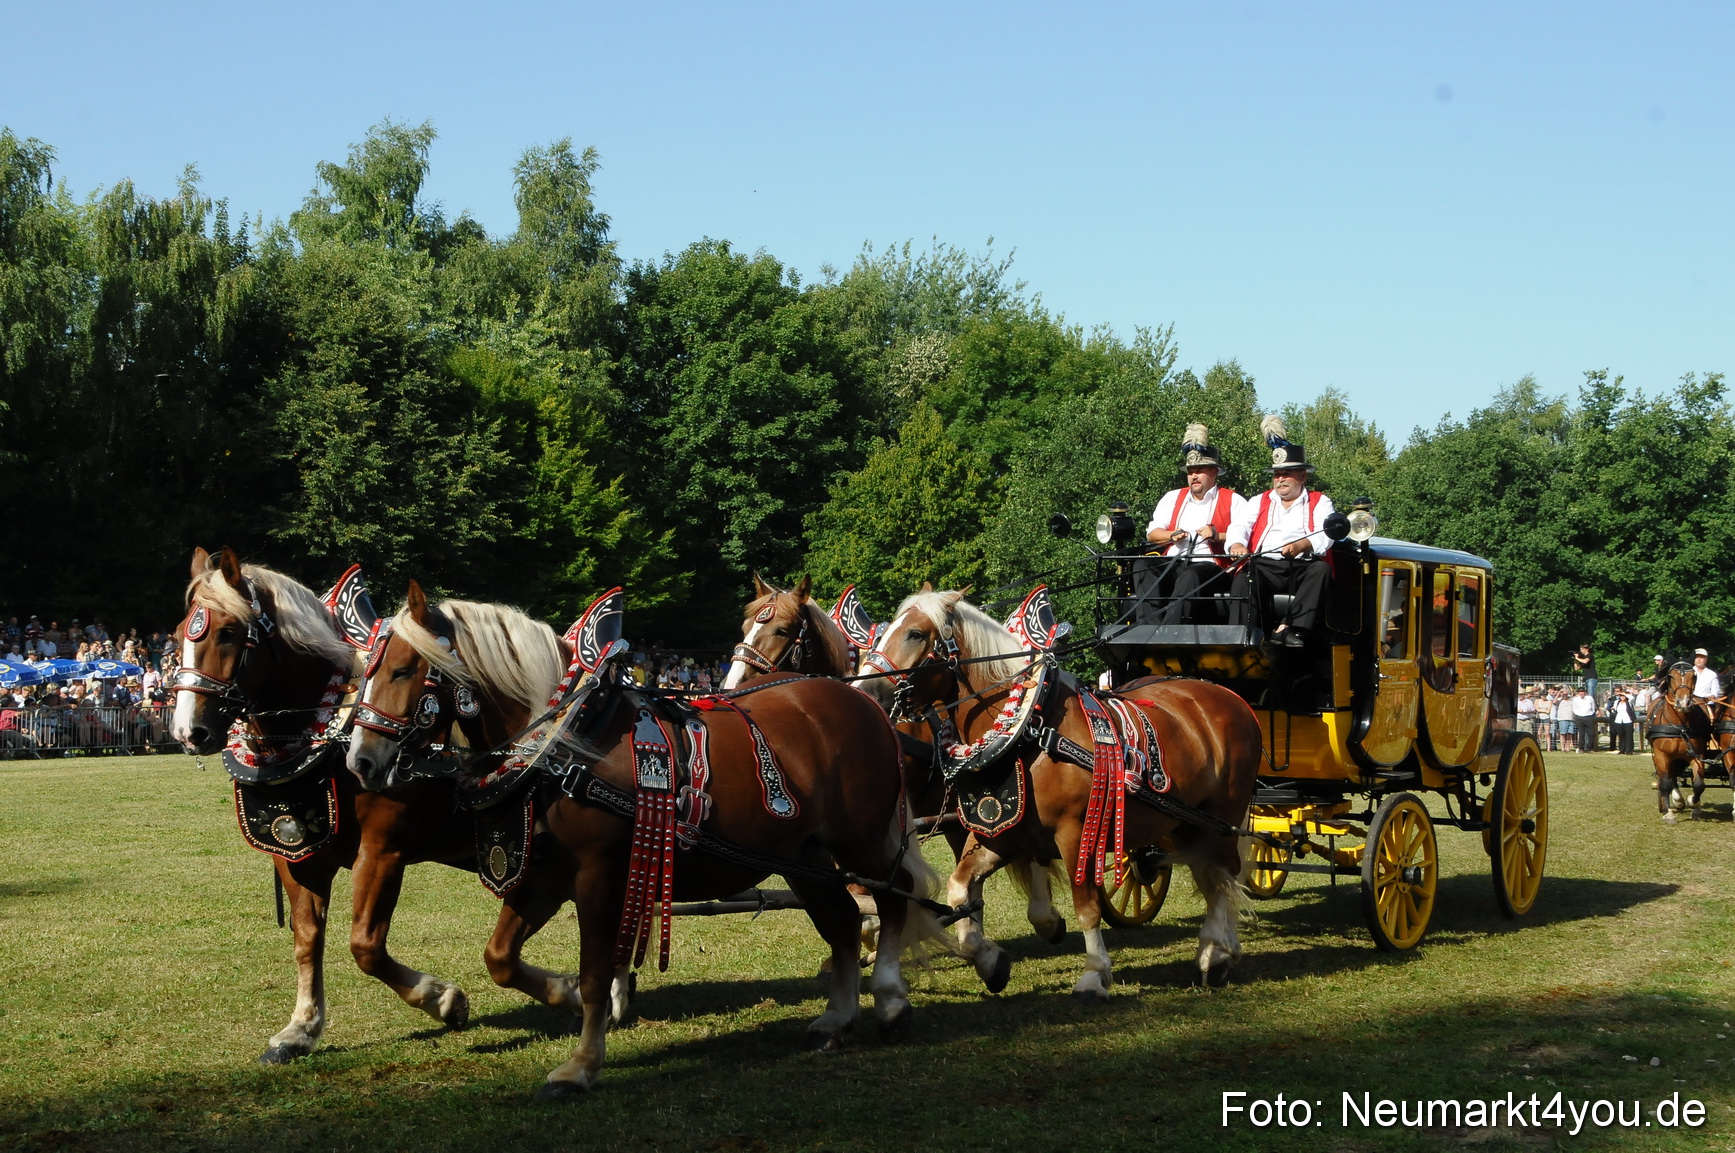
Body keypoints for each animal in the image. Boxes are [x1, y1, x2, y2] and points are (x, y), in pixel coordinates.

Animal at [348, 581, 942, 1098]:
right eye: (367, 670)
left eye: (403, 669)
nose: (360, 761)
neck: (565, 742)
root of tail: (864, 702)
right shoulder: (544, 876)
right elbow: (501, 958)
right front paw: (559, 995)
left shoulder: (599, 876)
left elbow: (595, 973)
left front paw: (582, 1063)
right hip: (803, 856)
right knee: (842, 920)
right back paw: (837, 1019)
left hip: (862, 840)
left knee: (894, 898)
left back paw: (891, 1002)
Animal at [861, 587, 1262, 995]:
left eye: (914, 634)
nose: (866, 691)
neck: (1028, 730)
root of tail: (1231, 698)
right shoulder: (998, 832)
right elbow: (960, 890)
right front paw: (990, 960)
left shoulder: (1076, 833)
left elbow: (1086, 906)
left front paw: (1094, 974)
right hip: (1184, 824)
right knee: (1213, 877)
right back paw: (1219, 951)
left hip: (1221, 819)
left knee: (1225, 878)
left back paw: (1217, 952)